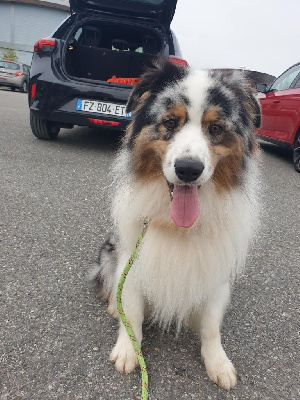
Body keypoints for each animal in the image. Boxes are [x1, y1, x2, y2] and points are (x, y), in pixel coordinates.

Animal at [90, 59, 262, 390]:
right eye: (170, 122)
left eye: (215, 128)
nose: (188, 169)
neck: (177, 225)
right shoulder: (133, 259)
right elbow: (131, 311)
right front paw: (128, 350)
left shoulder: (215, 274)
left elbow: (211, 325)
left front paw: (218, 362)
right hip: (110, 249)